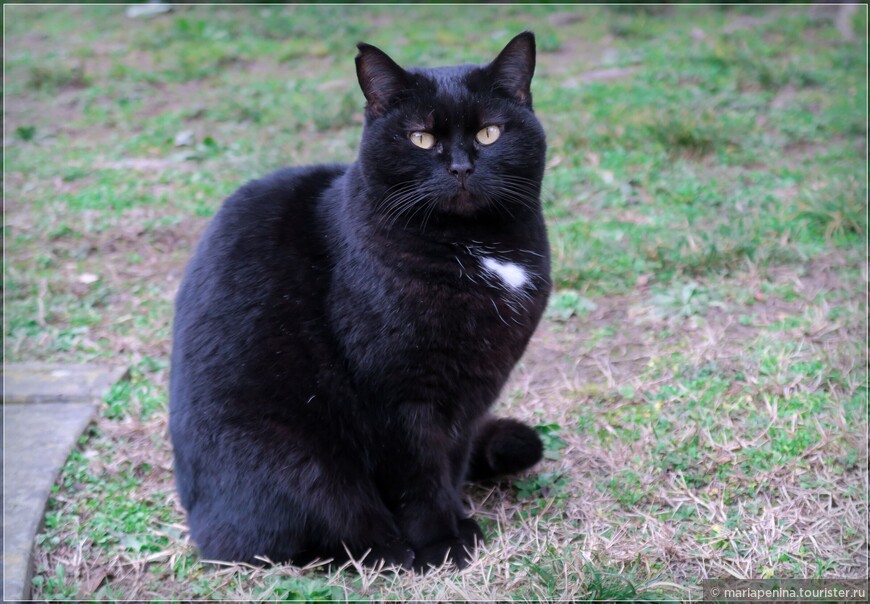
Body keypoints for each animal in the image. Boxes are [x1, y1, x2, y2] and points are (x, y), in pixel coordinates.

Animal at [170, 33, 552, 572]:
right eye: (420, 139)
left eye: (490, 133)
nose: (461, 166)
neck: (472, 246)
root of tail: (197, 518)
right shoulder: (398, 395)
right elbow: (419, 479)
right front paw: (442, 545)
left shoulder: (472, 393)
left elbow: (452, 464)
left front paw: (461, 520)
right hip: (299, 464)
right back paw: (386, 549)